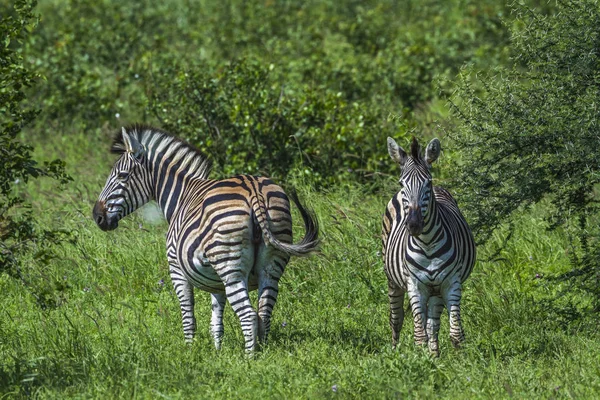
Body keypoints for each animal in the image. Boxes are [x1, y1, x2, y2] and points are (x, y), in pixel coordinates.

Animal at [92, 124, 318, 350]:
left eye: (122, 176)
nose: (97, 216)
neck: (181, 195)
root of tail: (254, 190)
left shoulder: (176, 268)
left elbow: (188, 316)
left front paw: (190, 352)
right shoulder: (215, 281)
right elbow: (216, 321)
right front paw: (217, 352)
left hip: (230, 267)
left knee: (249, 316)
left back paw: (249, 358)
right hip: (270, 265)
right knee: (264, 314)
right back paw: (262, 354)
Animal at [382, 136, 476, 354]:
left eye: (428, 182)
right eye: (401, 183)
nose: (414, 225)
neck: (427, 244)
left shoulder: (451, 282)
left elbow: (455, 334)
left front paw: (462, 362)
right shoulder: (414, 285)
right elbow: (418, 336)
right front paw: (419, 360)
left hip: (435, 289)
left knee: (432, 324)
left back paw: (434, 355)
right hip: (394, 281)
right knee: (396, 319)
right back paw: (394, 351)